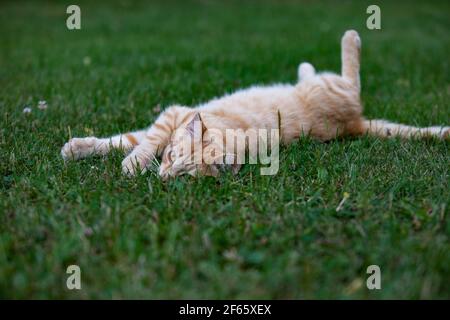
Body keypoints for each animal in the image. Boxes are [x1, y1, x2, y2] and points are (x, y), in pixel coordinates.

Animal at [61, 29, 448, 179]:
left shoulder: (170, 118)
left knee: (351, 75)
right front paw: (81, 148)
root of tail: (355, 124)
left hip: (332, 88)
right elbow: (125, 140)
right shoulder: (169, 117)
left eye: (183, 175)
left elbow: (134, 143)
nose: (164, 174)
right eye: (171, 157)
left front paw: (132, 165)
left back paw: (349, 38)